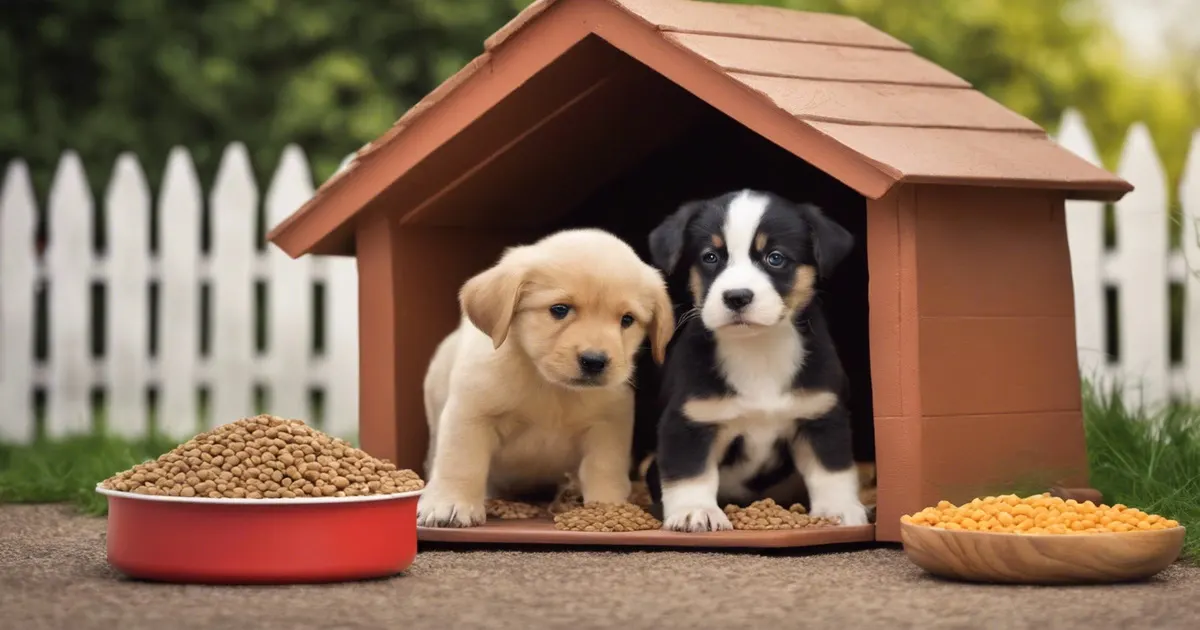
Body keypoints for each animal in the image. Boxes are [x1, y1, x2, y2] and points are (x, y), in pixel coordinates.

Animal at [417, 226, 676, 525]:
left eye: (627, 320)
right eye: (559, 309)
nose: (595, 361)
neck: (550, 387)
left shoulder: (608, 425)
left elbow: (604, 468)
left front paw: (607, 509)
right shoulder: (471, 414)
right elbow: (461, 462)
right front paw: (450, 504)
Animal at [643, 190, 868, 530]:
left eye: (775, 257)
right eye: (711, 257)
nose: (737, 297)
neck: (757, 350)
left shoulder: (821, 415)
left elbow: (832, 471)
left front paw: (839, 510)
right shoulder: (689, 422)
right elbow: (690, 474)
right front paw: (695, 511)